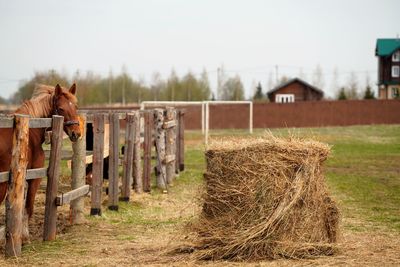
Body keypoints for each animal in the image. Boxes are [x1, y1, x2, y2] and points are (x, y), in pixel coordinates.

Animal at [0, 84, 81, 241]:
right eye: (60, 109)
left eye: (76, 106)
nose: (76, 133)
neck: (31, 130)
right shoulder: (34, 177)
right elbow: (28, 207)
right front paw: (24, 236)